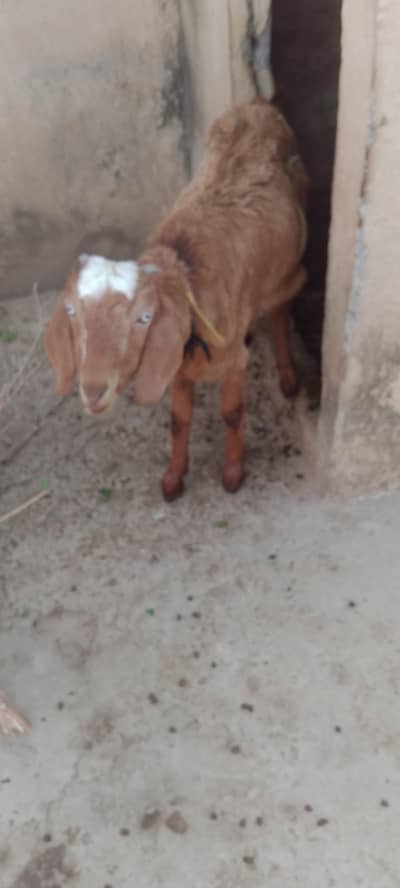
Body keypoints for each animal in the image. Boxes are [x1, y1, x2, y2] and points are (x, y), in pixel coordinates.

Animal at [45, 98, 307, 500]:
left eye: (144, 318)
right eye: (72, 311)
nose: (92, 392)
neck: (184, 268)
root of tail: (256, 104)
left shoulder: (233, 362)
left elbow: (232, 413)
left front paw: (233, 473)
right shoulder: (177, 367)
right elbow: (178, 421)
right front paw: (173, 477)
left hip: (286, 267)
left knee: (280, 308)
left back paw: (289, 376)